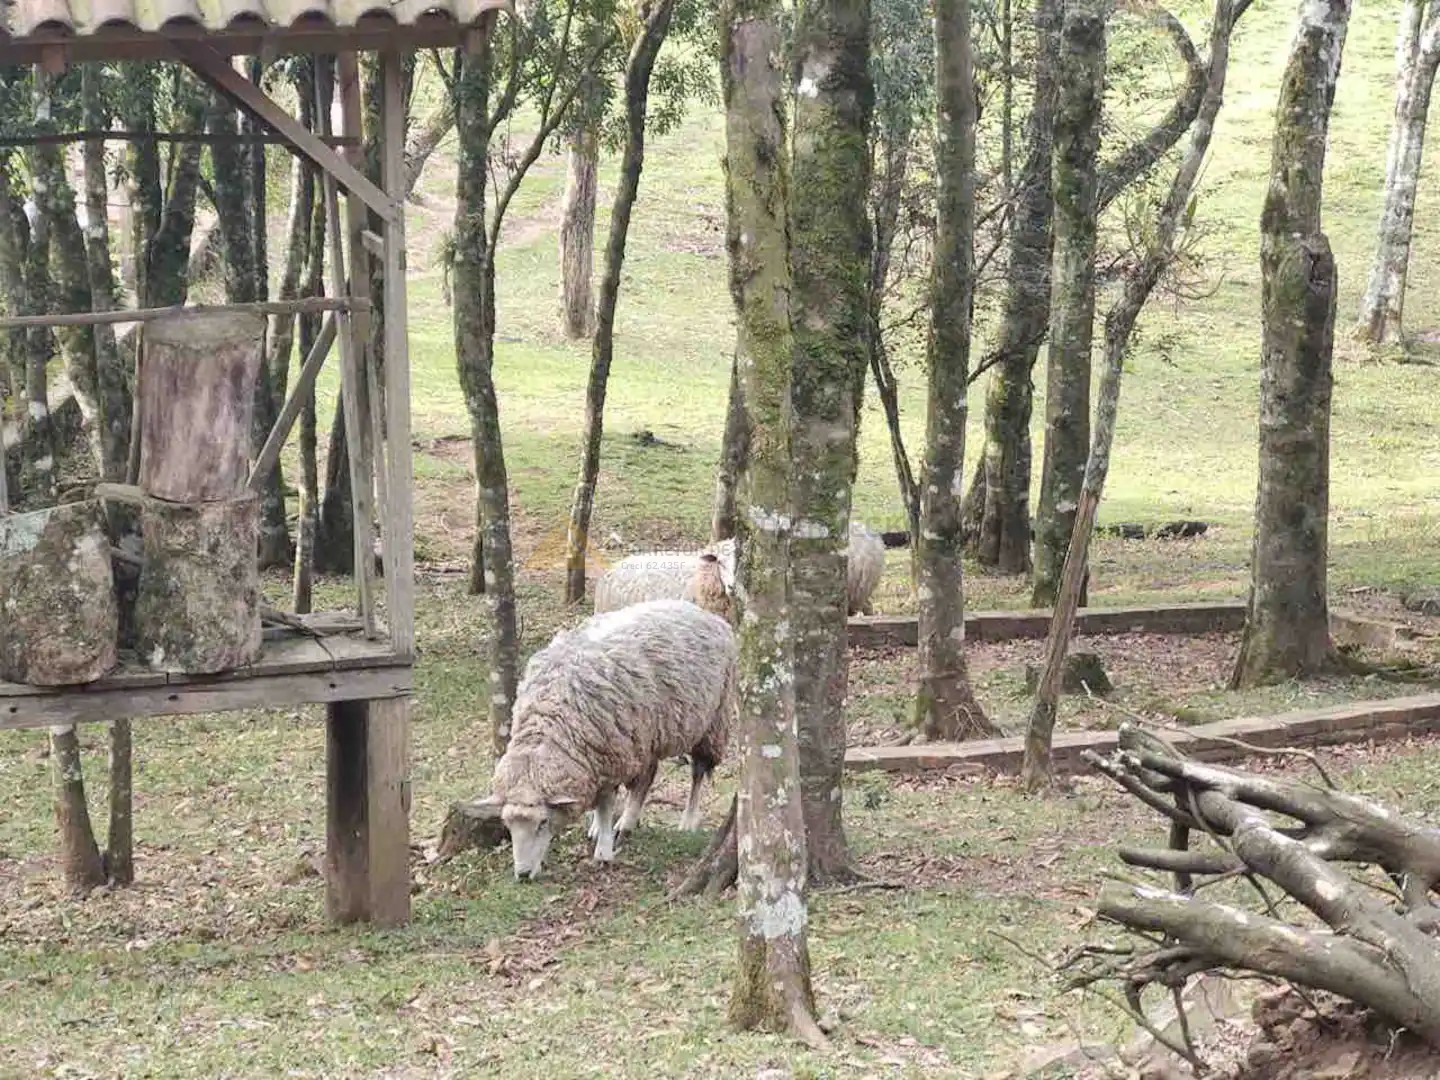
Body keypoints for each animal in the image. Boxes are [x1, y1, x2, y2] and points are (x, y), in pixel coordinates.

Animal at [478, 601, 737, 881]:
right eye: (508, 824)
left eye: (543, 822)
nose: (523, 874)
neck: (549, 721)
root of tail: (701, 611)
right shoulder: (595, 758)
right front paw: (595, 827)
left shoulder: (610, 756)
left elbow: (605, 805)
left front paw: (603, 851)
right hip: (646, 735)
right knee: (647, 777)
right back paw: (628, 820)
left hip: (712, 722)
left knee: (697, 772)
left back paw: (686, 820)